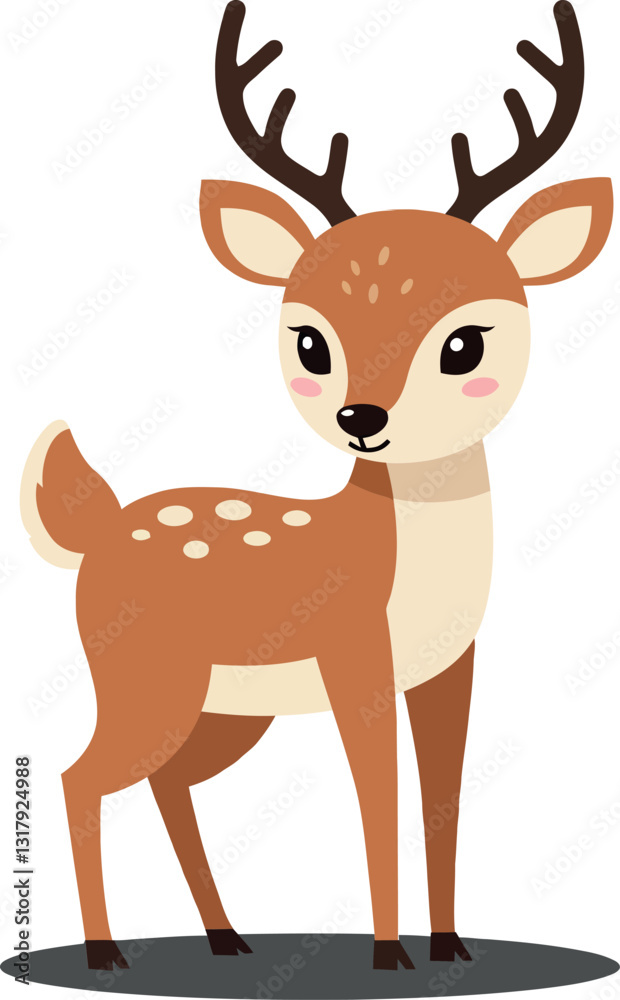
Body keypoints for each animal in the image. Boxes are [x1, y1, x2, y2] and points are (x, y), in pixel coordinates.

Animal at [20, 0, 613, 975]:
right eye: (310, 342)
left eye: (465, 343)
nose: (361, 416)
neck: (409, 564)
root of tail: (95, 531)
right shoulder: (353, 656)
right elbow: (379, 796)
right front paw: (391, 954)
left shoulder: (450, 667)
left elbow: (443, 797)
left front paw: (450, 944)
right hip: (145, 680)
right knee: (79, 773)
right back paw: (106, 952)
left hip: (222, 709)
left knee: (167, 782)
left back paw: (227, 937)